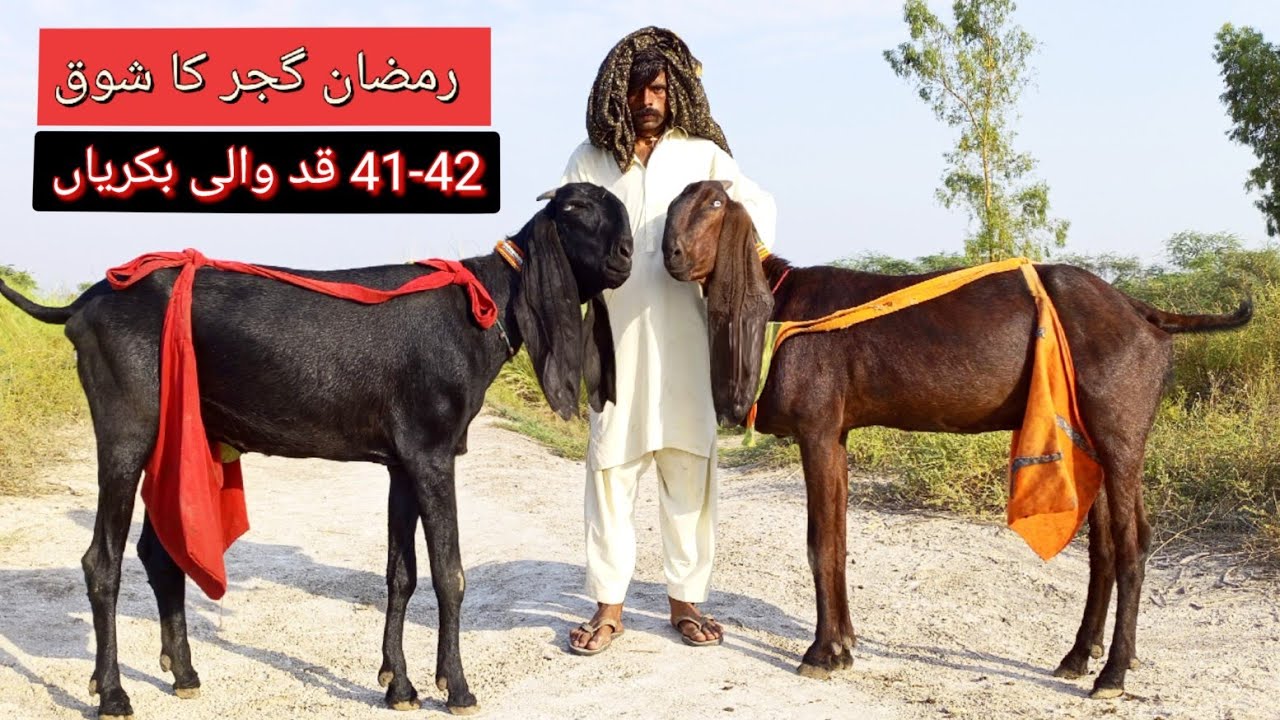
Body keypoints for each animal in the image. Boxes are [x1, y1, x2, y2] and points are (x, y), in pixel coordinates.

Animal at [0, 182, 634, 718]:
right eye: (576, 209)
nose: (627, 254)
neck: (480, 306)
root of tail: (84, 303)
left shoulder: (404, 461)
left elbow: (400, 573)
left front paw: (398, 685)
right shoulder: (432, 454)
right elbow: (449, 572)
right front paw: (456, 687)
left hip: (174, 438)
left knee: (161, 553)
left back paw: (183, 674)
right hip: (126, 431)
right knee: (101, 561)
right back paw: (112, 693)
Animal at [661, 179, 1252, 699]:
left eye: (714, 203)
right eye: (672, 204)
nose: (671, 253)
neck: (781, 304)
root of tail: (1142, 310)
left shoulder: (817, 430)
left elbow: (820, 543)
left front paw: (823, 652)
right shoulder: (838, 435)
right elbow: (839, 539)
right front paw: (846, 643)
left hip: (1120, 430)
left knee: (1133, 542)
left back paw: (1113, 673)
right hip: (1087, 433)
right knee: (1104, 546)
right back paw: (1079, 655)